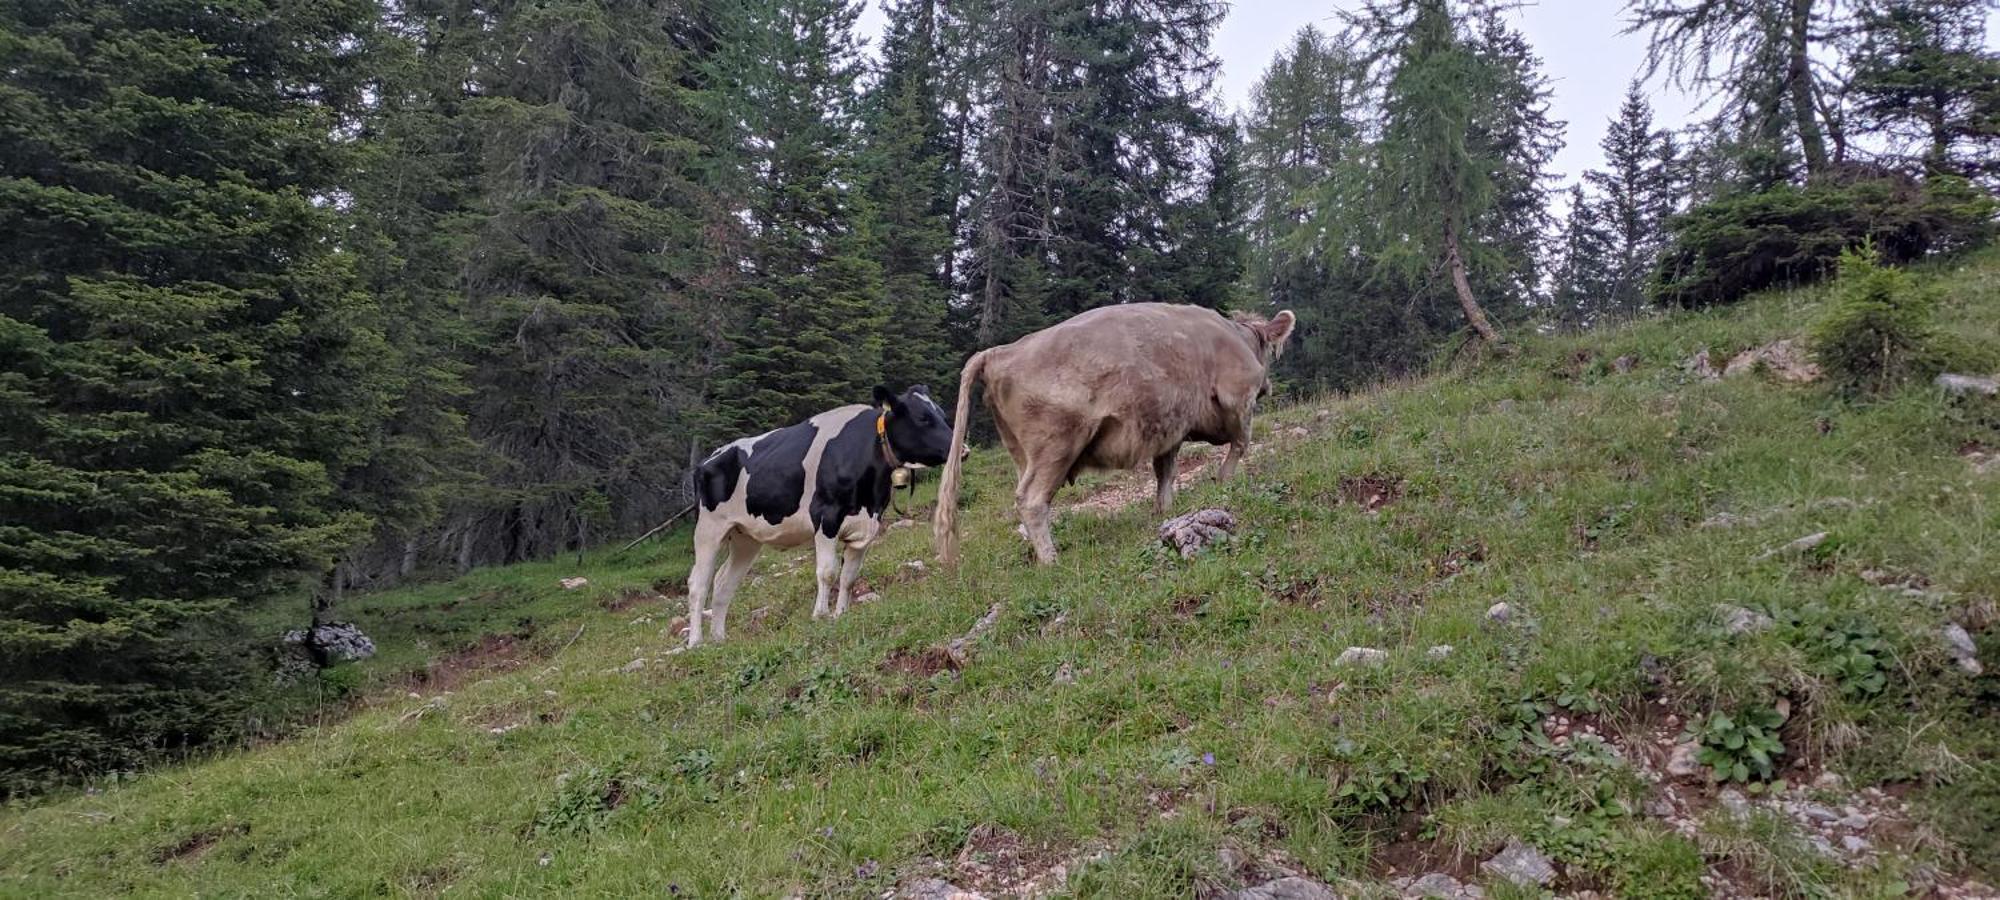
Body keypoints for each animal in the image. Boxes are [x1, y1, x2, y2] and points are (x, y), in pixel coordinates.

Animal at [684, 384, 956, 644]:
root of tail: (708, 459)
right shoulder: (827, 516)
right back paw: (696, 642)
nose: (960, 447)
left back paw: (719, 639)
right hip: (708, 529)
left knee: (723, 583)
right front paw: (821, 615)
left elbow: (849, 576)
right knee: (698, 583)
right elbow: (827, 571)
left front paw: (841, 614)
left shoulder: (866, 526)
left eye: (942, 415)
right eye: (922, 418)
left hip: (745, 537)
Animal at [936, 306, 1296, 568]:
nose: (1267, 385)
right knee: (1031, 499)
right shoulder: (1237, 399)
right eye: (1268, 351)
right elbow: (1241, 443)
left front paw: (1164, 509)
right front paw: (1225, 480)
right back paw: (1052, 560)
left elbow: (1165, 471)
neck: (1236, 336)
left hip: (1021, 451)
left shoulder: (1171, 427)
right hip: (1056, 442)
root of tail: (999, 352)